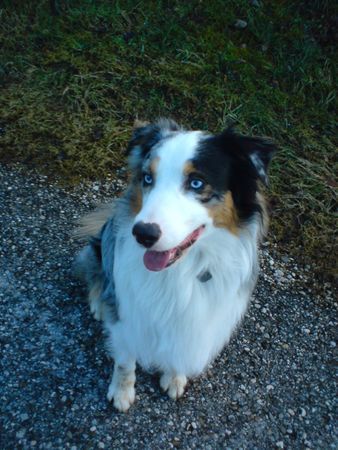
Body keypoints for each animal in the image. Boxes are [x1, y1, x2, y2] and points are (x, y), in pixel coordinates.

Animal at [76, 118, 278, 412]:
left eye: (196, 183)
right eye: (148, 178)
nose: (143, 234)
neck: (182, 269)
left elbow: (179, 349)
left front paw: (173, 376)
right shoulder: (127, 313)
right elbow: (125, 360)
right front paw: (122, 392)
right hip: (101, 248)